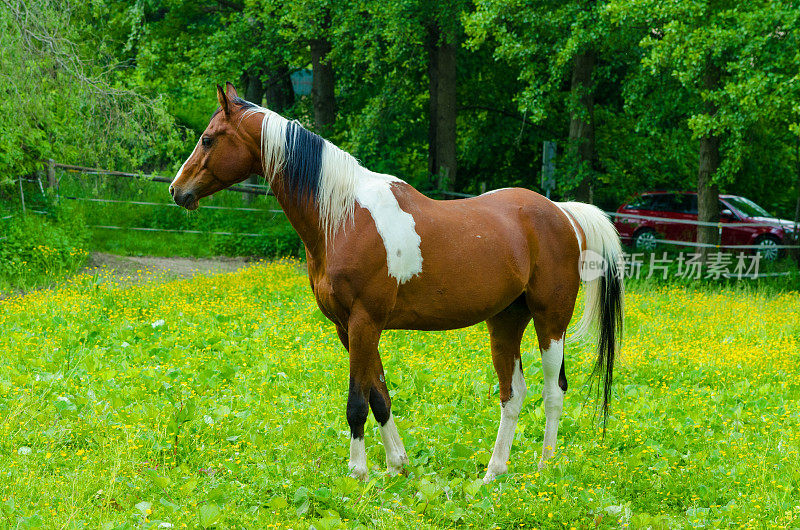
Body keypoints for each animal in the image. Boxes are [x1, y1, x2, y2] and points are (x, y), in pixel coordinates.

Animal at [170, 83, 624, 482]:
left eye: (208, 139)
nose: (177, 191)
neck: (343, 216)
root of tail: (563, 213)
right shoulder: (349, 328)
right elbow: (379, 396)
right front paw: (397, 466)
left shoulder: (364, 322)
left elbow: (357, 401)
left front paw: (359, 472)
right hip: (505, 322)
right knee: (512, 394)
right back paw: (494, 473)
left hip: (550, 323)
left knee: (553, 391)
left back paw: (544, 468)